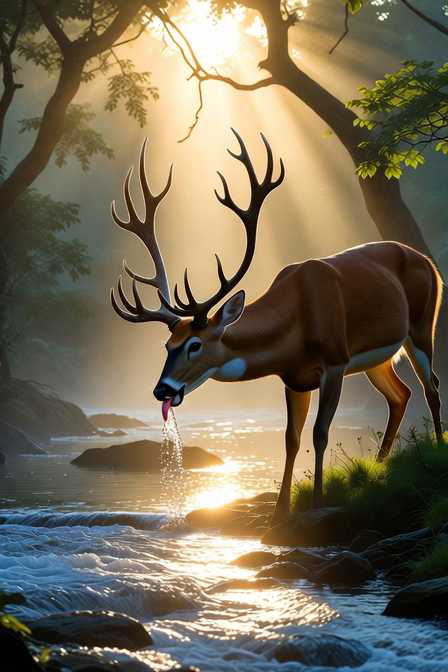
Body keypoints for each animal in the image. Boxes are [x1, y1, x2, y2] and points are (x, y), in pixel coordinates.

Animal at [110, 130, 443, 523]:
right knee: (400, 395)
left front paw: (317, 503)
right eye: (167, 346)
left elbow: (320, 432)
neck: (295, 326)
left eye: (195, 344)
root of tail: (430, 263)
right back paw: (380, 466)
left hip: (422, 325)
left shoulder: (335, 360)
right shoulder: (293, 378)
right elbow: (290, 438)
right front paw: (278, 513)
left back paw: (436, 451)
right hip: (376, 359)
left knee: (431, 387)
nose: (162, 389)